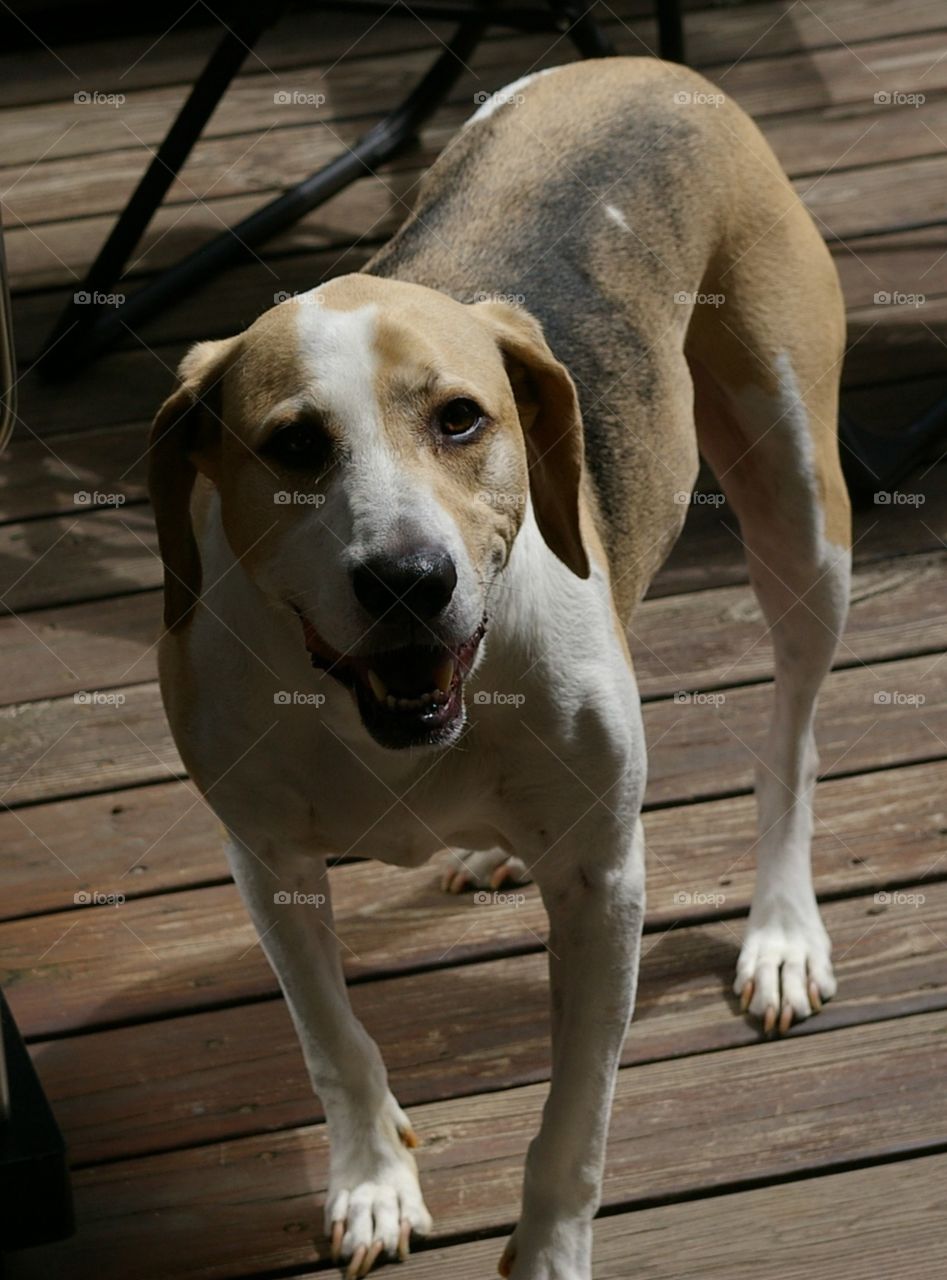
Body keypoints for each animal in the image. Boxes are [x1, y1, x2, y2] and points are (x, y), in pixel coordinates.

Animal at [149, 57, 849, 1280]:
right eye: (293, 446)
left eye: (461, 419)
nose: (407, 579)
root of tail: (642, 67)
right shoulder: (266, 858)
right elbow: (331, 1037)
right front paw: (372, 1180)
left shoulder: (606, 888)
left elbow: (576, 1118)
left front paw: (551, 1249)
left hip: (802, 514)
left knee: (793, 738)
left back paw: (779, 930)